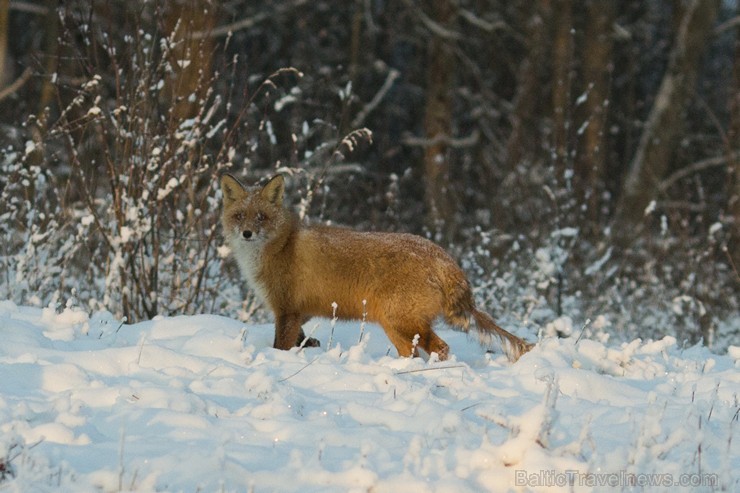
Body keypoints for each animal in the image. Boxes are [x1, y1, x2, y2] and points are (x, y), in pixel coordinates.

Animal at [220, 173, 532, 362]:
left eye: (261, 217)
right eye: (240, 216)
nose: (247, 233)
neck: (282, 245)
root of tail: (442, 256)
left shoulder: (287, 310)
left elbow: (280, 346)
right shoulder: (301, 312)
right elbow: (302, 340)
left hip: (399, 321)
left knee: (440, 348)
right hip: (399, 327)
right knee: (417, 353)